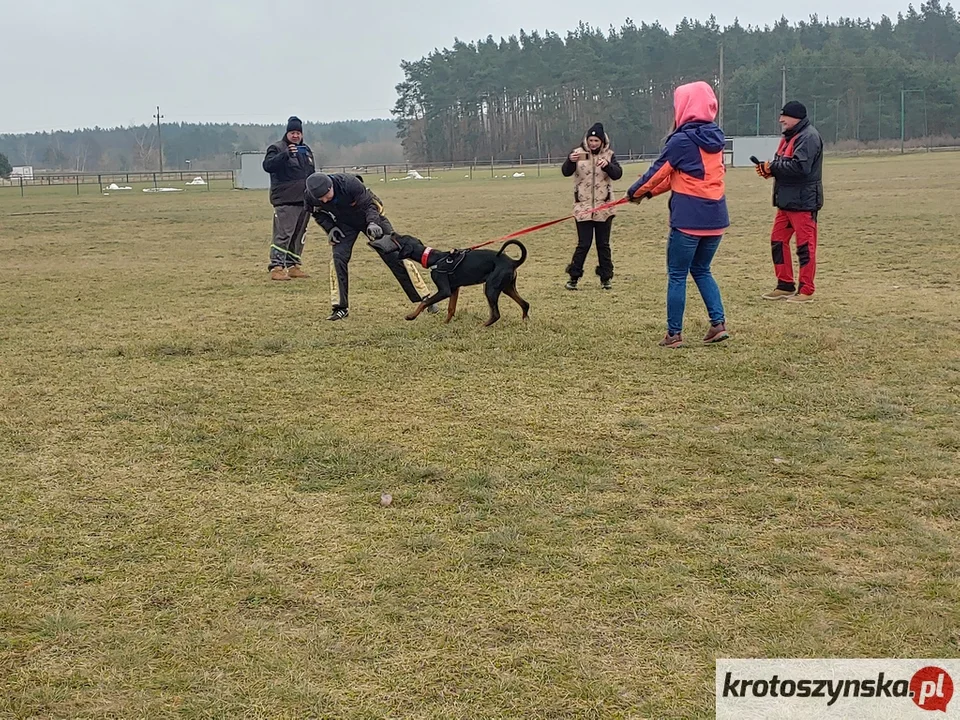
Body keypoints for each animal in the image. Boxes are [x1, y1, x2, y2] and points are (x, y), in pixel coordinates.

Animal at [370, 233, 532, 326]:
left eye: (400, 237)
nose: (391, 232)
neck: (433, 258)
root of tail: (513, 262)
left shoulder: (444, 290)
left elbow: (425, 302)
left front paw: (411, 316)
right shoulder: (454, 289)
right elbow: (451, 308)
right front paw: (446, 323)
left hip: (491, 289)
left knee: (496, 314)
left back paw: (482, 326)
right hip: (507, 287)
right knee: (525, 304)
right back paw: (525, 321)